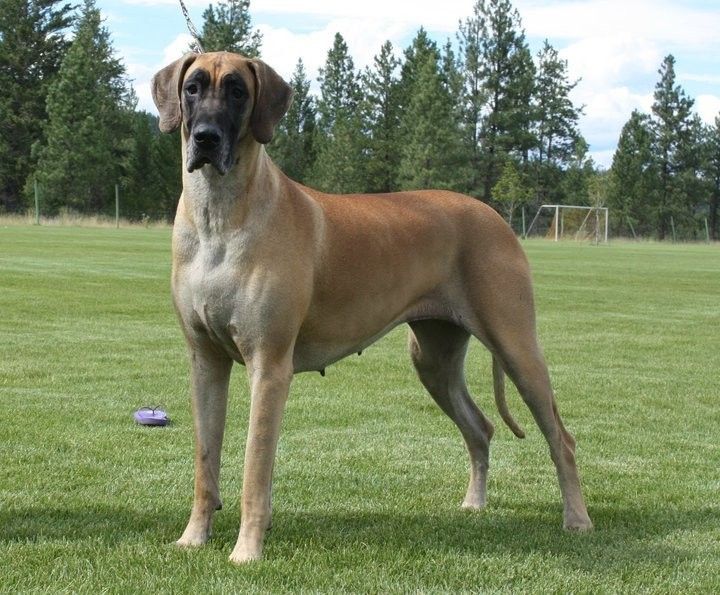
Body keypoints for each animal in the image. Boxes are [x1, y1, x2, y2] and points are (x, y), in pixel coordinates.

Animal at [151, 51, 592, 564]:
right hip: (433, 359)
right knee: (480, 428)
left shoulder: (270, 365)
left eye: (238, 91)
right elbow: (206, 463)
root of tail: (494, 215)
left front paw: (247, 551)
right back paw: (474, 503)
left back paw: (577, 519)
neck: (218, 217)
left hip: (517, 345)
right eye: (193, 88)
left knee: (561, 438)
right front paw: (193, 537)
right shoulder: (206, 361)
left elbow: (254, 472)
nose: (205, 137)